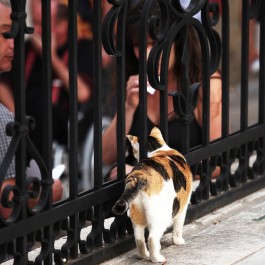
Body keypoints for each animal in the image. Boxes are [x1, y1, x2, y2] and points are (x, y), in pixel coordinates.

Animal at [112, 126, 192, 262]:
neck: (158, 150)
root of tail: (141, 176)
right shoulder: (183, 206)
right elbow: (178, 226)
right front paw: (178, 241)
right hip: (161, 215)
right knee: (152, 238)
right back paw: (157, 258)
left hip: (137, 214)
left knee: (139, 239)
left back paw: (143, 255)